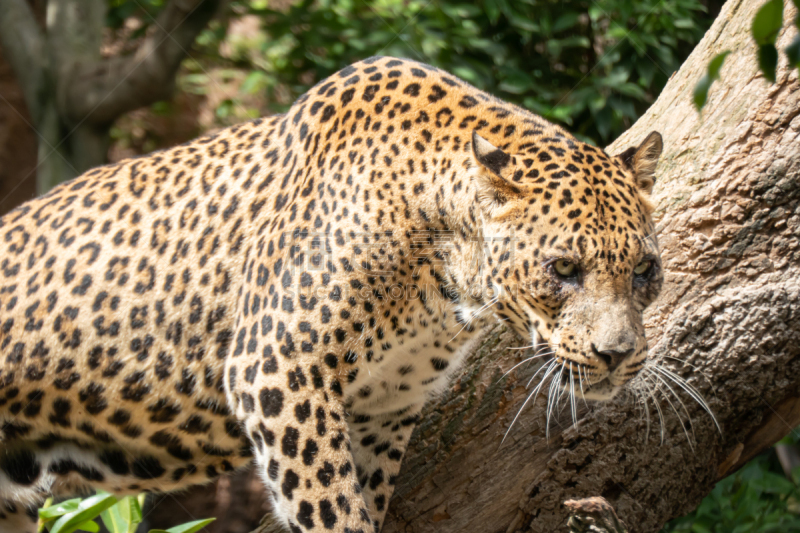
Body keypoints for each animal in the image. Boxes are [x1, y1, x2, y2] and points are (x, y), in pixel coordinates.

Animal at [0, 56, 664, 528]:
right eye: (563, 268)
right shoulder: (276, 369)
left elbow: (362, 495)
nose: (617, 355)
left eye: (644, 271)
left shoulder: (386, 406)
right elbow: (330, 507)